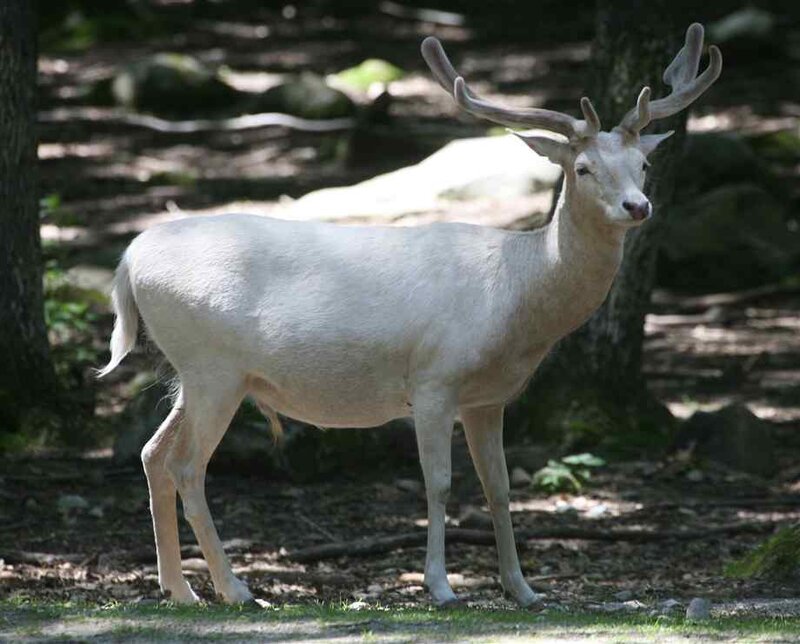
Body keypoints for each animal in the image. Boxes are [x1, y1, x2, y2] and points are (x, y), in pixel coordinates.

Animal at [98, 23, 721, 607]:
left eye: (644, 163)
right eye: (585, 168)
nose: (638, 206)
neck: (515, 298)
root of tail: (129, 259)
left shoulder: (488, 398)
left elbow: (499, 488)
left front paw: (523, 590)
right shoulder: (433, 380)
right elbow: (439, 484)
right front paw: (441, 587)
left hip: (194, 373)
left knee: (153, 453)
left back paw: (179, 589)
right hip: (214, 367)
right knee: (187, 466)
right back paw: (236, 589)